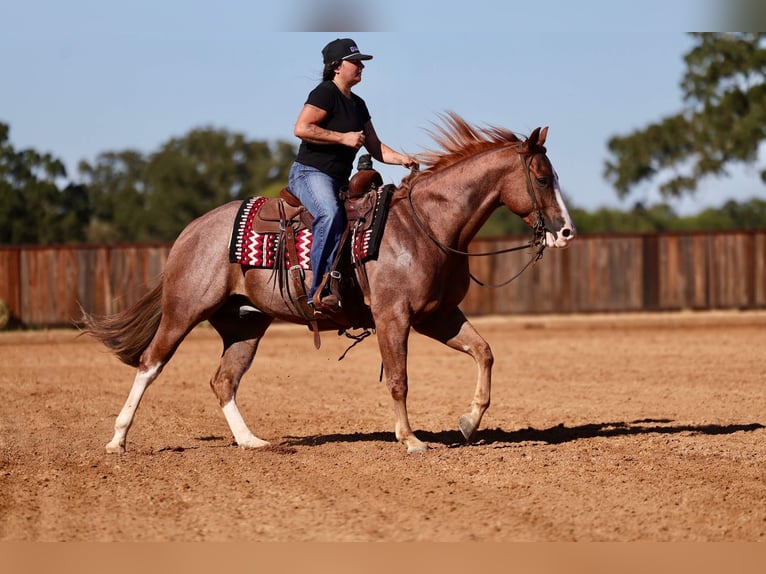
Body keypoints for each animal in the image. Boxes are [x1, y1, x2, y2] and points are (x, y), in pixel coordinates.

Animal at [82, 112, 576, 454]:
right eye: (541, 177)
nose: (566, 231)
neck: (428, 225)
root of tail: (190, 233)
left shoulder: (437, 316)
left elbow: (484, 352)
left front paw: (469, 422)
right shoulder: (394, 317)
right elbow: (399, 379)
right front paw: (411, 440)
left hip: (244, 324)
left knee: (223, 380)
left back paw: (252, 442)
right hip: (184, 310)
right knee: (150, 363)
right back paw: (117, 441)